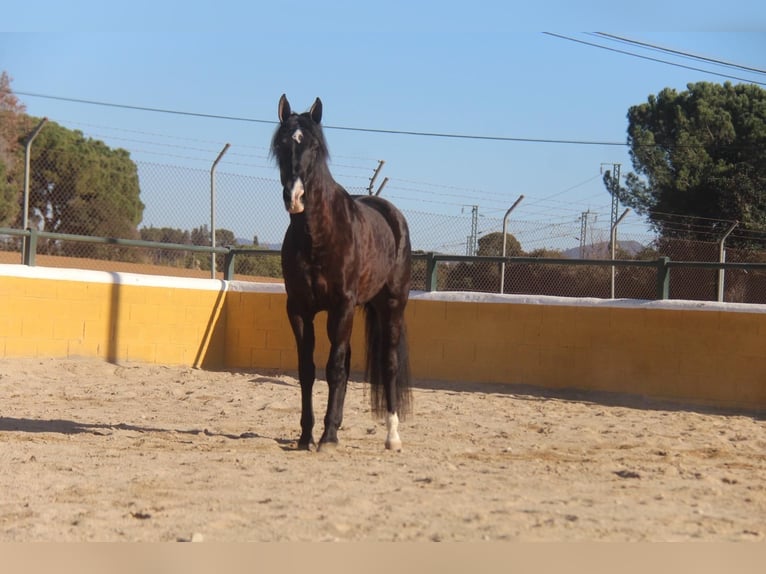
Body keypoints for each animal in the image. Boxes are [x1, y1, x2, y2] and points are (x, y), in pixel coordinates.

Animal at [272, 95, 414, 454]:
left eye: (314, 146)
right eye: (281, 144)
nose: (294, 197)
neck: (319, 236)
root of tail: (392, 215)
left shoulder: (342, 306)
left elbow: (333, 368)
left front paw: (326, 438)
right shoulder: (299, 309)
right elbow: (308, 370)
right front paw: (307, 435)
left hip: (391, 308)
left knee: (388, 365)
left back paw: (392, 436)